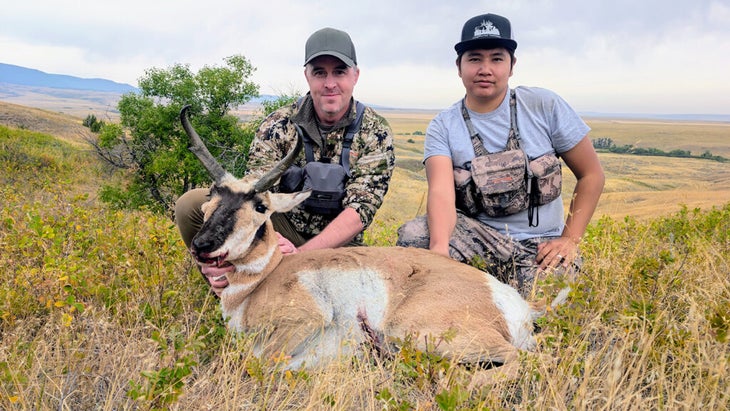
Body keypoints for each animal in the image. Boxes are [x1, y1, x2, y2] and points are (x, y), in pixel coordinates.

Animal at [179, 105, 556, 370]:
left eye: (260, 206)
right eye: (213, 192)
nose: (203, 246)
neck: (263, 280)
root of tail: (514, 303)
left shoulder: (305, 321)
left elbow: (256, 360)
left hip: (414, 330)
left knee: (520, 361)